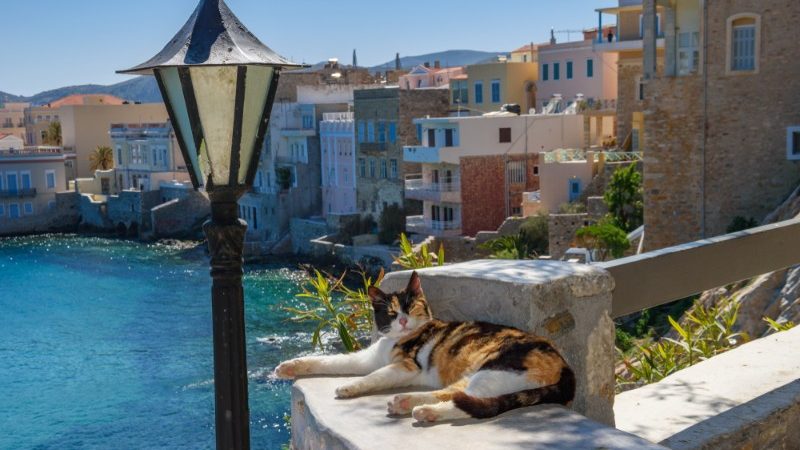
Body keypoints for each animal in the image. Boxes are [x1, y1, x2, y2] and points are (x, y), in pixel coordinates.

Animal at [276, 272, 576, 424]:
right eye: (391, 312)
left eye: (411, 307)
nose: (403, 320)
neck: (394, 339)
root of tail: (565, 366)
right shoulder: (367, 358)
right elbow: (332, 360)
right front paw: (289, 367)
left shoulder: (407, 366)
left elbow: (373, 376)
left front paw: (348, 387)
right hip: (481, 374)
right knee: (453, 394)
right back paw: (408, 403)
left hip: (494, 369)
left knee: (467, 401)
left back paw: (421, 409)